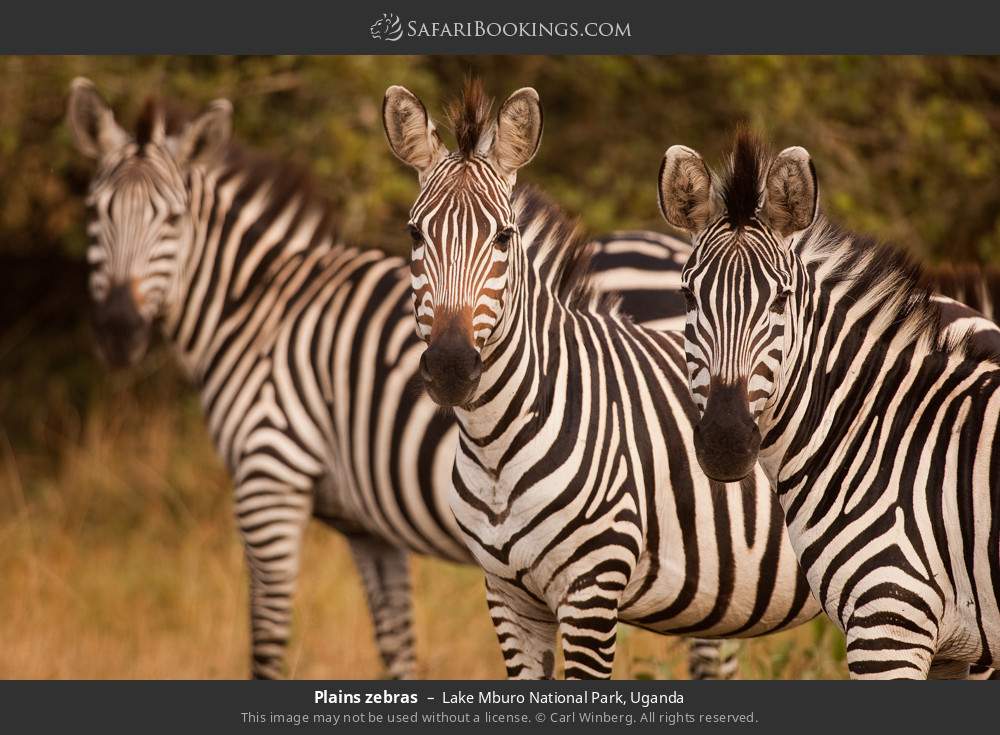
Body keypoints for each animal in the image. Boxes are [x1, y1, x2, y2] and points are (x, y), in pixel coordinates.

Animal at [66, 77, 740, 680]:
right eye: (96, 213)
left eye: (173, 218)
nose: (119, 332)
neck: (258, 305)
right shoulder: (369, 529)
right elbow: (396, 644)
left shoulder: (270, 475)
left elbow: (267, 642)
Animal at [380, 79, 820, 680]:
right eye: (414, 234)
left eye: (504, 237)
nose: (450, 366)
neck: (495, 445)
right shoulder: (507, 598)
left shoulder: (592, 590)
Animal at [656, 131, 1000, 680]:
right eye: (689, 297)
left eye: (781, 300)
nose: (726, 443)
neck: (884, 438)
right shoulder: (950, 648)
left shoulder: (888, 621)